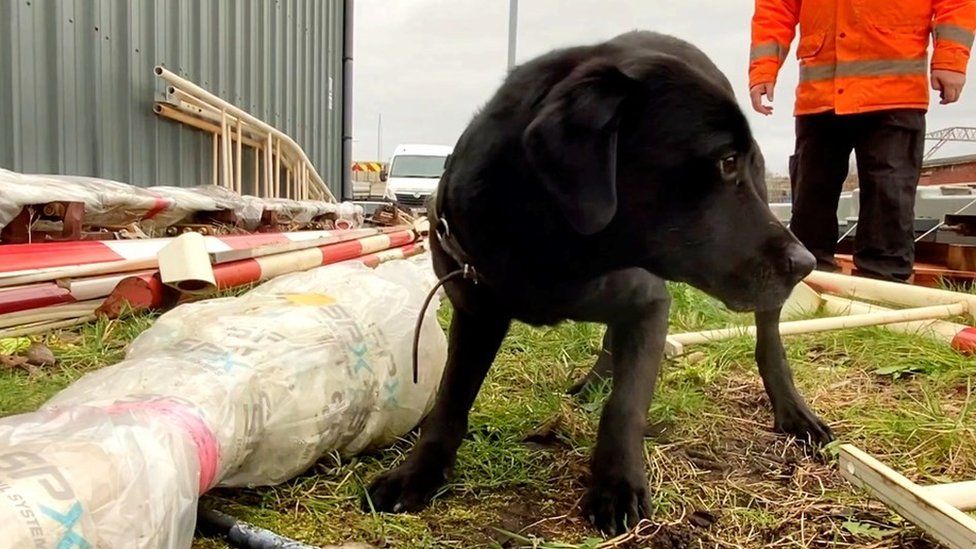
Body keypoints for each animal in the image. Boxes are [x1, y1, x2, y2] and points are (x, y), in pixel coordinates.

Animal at [364, 28, 832, 532]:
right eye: (726, 161)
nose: (806, 262)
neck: (546, 242)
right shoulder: (476, 310)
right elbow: (452, 396)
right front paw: (417, 472)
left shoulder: (649, 303)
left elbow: (625, 404)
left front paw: (617, 485)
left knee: (768, 340)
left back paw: (794, 411)